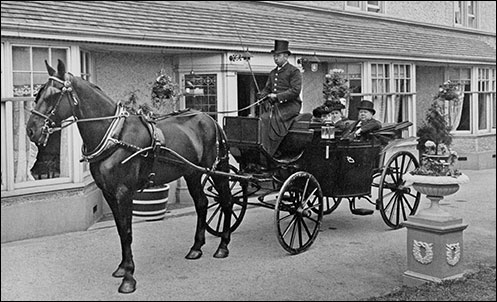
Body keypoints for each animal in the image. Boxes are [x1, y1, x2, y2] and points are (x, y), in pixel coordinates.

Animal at [26, 60, 234, 294]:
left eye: (53, 95)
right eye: (38, 94)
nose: (31, 130)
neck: (114, 136)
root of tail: (209, 118)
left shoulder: (124, 193)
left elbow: (127, 232)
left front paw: (129, 278)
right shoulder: (109, 193)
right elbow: (120, 230)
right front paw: (122, 268)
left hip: (216, 171)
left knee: (226, 201)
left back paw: (223, 246)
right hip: (192, 173)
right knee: (201, 203)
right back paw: (196, 247)